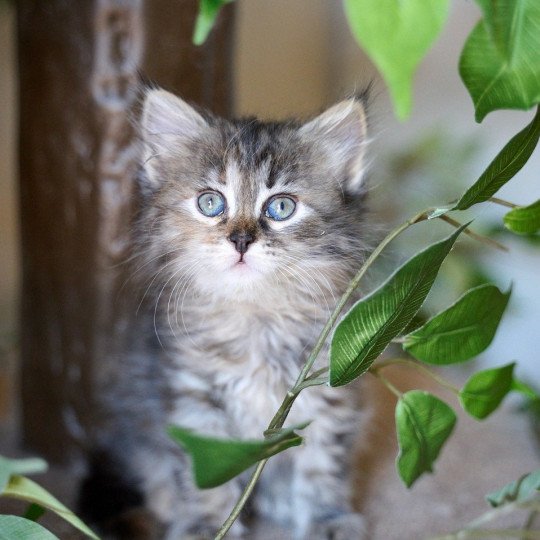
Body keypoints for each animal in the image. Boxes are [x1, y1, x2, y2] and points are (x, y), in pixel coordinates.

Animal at [80, 86, 374, 536]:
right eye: (210, 203)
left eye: (281, 208)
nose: (240, 240)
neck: (256, 317)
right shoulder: (193, 396)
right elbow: (204, 476)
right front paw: (207, 525)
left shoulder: (328, 392)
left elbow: (323, 466)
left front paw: (328, 518)